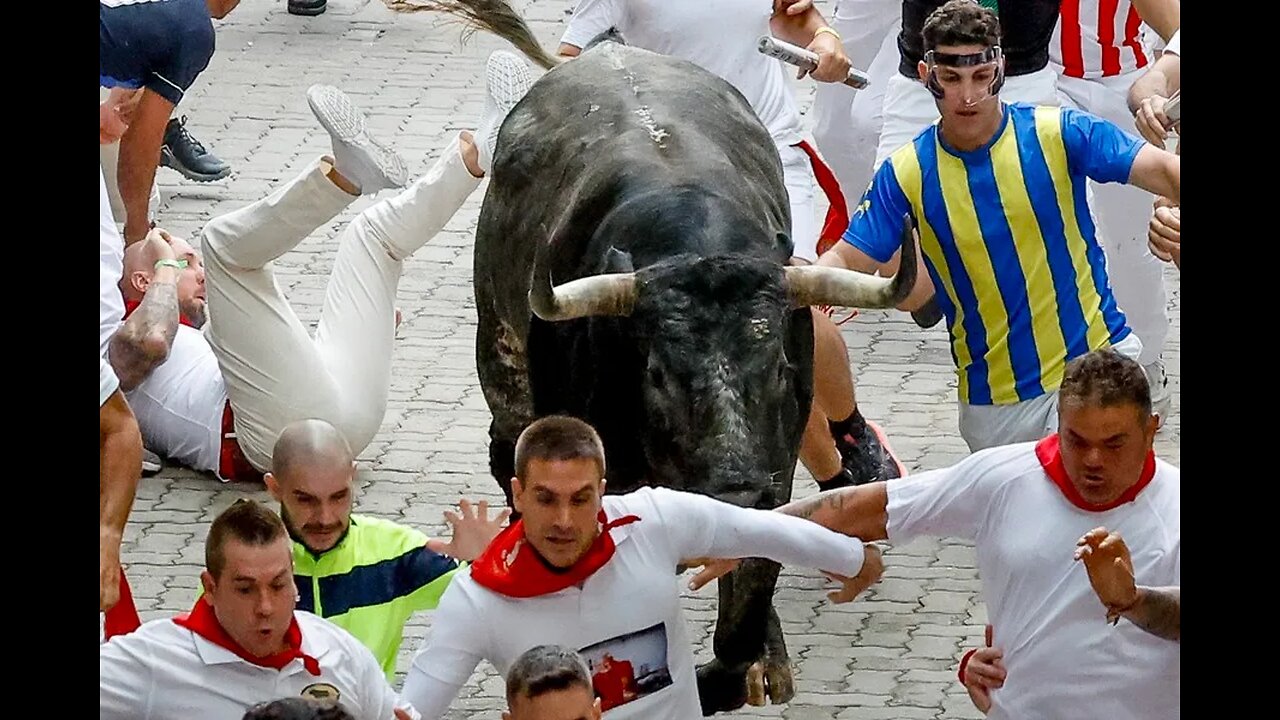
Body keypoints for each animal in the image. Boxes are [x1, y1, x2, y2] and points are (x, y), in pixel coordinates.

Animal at [394, 0, 916, 712]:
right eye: (659, 375)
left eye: (779, 367)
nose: (737, 488)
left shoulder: (775, 474)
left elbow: (746, 599)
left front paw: (752, 663)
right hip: (500, 358)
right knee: (507, 448)